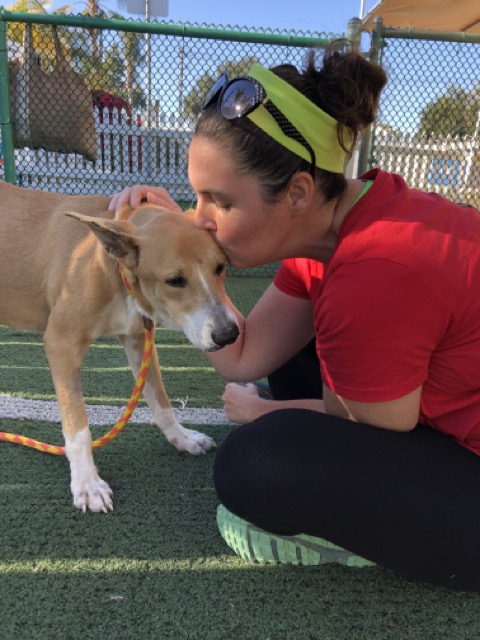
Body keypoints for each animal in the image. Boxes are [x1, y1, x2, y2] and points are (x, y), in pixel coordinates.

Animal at [0, 182, 240, 512]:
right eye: (175, 280)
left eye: (220, 267)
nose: (229, 335)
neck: (111, 265)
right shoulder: (61, 343)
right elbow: (78, 426)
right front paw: (87, 483)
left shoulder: (139, 339)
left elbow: (161, 401)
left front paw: (181, 438)